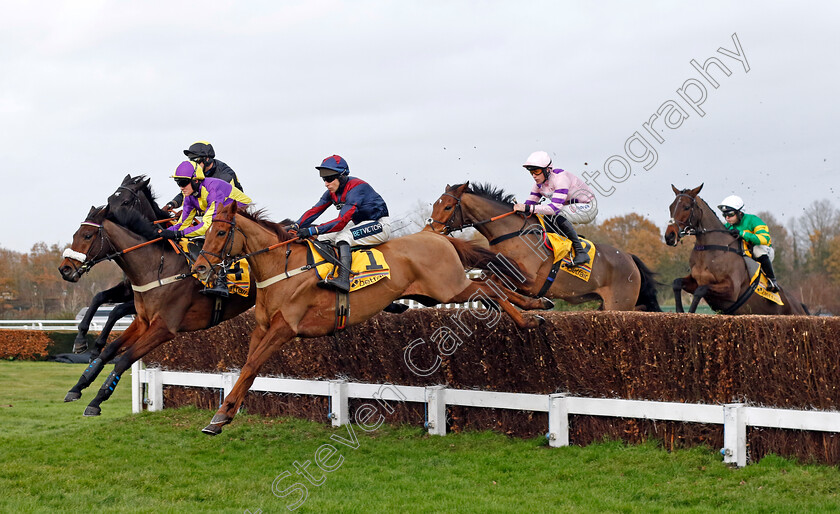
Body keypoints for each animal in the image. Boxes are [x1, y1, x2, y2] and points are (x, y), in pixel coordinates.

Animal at [58, 186, 256, 414]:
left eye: (87, 235)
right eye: (76, 234)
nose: (65, 269)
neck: (157, 267)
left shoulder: (163, 328)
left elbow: (124, 357)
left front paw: (97, 399)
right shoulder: (142, 319)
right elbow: (110, 346)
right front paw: (79, 382)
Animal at [190, 202, 552, 434]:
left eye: (220, 234)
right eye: (204, 234)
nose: (200, 268)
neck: (283, 267)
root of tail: (436, 235)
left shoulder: (284, 328)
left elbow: (252, 366)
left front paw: (221, 416)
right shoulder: (263, 327)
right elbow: (246, 368)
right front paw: (222, 415)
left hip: (450, 289)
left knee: (488, 288)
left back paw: (529, 318)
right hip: (435, 294)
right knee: (490, 290)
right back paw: (536, 304)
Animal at [426, 182, 664, 310]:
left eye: (448, 206)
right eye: (436, 204)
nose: (432, 230)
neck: (510, 232)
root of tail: (629, 257)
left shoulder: (530, 280)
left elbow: (493, 282)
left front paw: (538, 303)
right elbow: (485, 279)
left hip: (619, 303)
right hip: (608, 304)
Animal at [664, 182, 808, 314]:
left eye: (686, 207)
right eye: (671, 207)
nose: (669, 236)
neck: (711, 249)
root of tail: (799, 305)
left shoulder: (732, 290)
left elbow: (701, 290)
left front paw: (690, 312)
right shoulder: (696, 280)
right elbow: (676, 283)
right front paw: (679, 310)